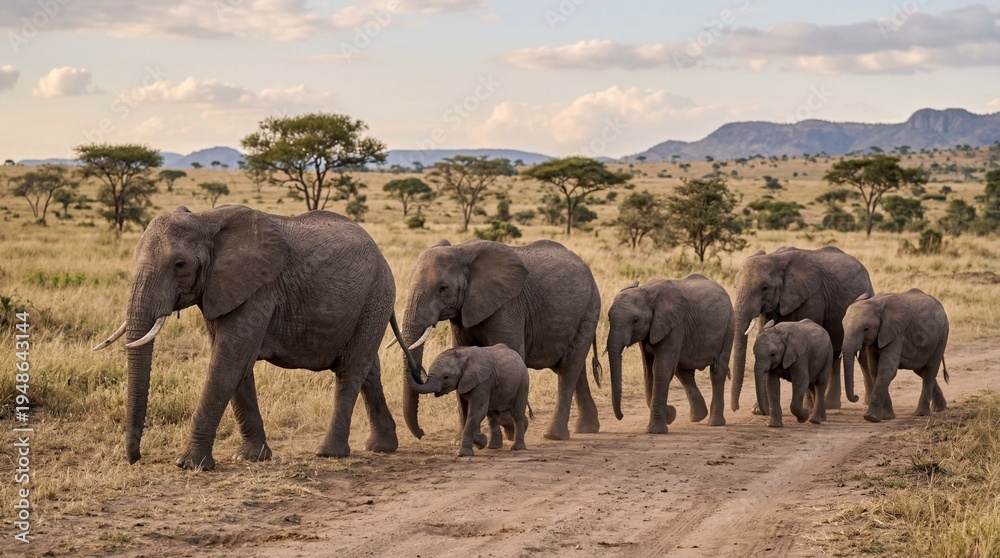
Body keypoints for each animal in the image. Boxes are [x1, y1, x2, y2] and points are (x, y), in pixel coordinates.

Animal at [93, 205, 417, 470]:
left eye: (179, 265)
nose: (135, 458)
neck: (206, 219)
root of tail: (380, 252)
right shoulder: (222, 289)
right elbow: (239, 365)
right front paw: (250, 457)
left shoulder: (259, 289)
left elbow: (228, 361)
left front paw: (190, 465)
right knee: (368, 369)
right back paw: (381, 447)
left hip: (376, 296)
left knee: (351, 370)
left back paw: (330, 453)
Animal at [399, 238, 601, 443]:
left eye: (443, 289)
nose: (421, 433)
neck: (461, 250)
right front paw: (461, 440)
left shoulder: (509, 305)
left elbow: (511, 352)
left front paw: (513, 427)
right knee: (576, 369)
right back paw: (587, 429)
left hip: (590, 309)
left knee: (569, 368)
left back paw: (554, 435)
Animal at [605, 275, 734, 433]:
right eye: (609, 318)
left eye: (635, 320)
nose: (621, 416)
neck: (646, 291)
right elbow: (649, 372)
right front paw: (670, 415)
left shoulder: (674, 326)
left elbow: (661, 369)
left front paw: (656, 430)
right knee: (683, 372)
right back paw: (698, 417)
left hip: (729, 325)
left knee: (717, 371)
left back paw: (715, 423)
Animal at [731, 246, 874, 414]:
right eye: (735, 286)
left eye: (765, 288)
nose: (735, 408)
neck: (776, 258)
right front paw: (758, 411)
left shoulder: (812, 297)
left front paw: (807, 409)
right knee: (834, 353)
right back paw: (830, 405)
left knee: (861, 355)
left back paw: (865, 402)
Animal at [842, 289, 950, 423]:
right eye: (843, 326)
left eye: (866, 328)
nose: (856, 397)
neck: (875, 302)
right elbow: (875, 370)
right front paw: (886, 417)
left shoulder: (896, 333)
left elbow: (887, 370)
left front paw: (871, 418)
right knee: (921, 371)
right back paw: (940, 408)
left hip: (942, 336)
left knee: (930, 370)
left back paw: (922, 414)